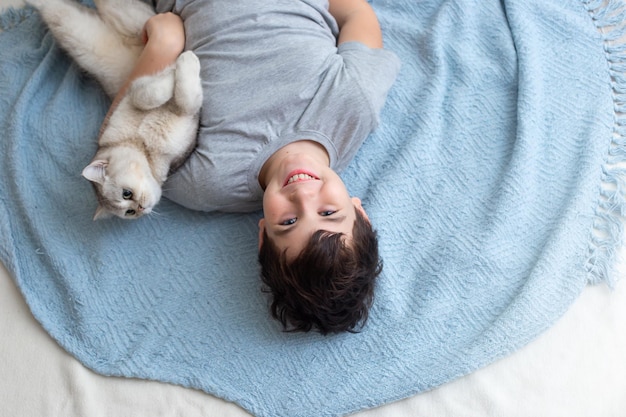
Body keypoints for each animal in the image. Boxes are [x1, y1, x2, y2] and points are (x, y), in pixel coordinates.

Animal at [25, 0, 201, 219]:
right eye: (129, 211)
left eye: (127, 193)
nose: (142, 209)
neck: (144, 146)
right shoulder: (186, 111)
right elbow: (182, 98)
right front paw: (177, 70)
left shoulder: (134, 92)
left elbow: (147, 95)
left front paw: (178, 67)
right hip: (74, 32)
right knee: (59, 9)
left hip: (129, 20)